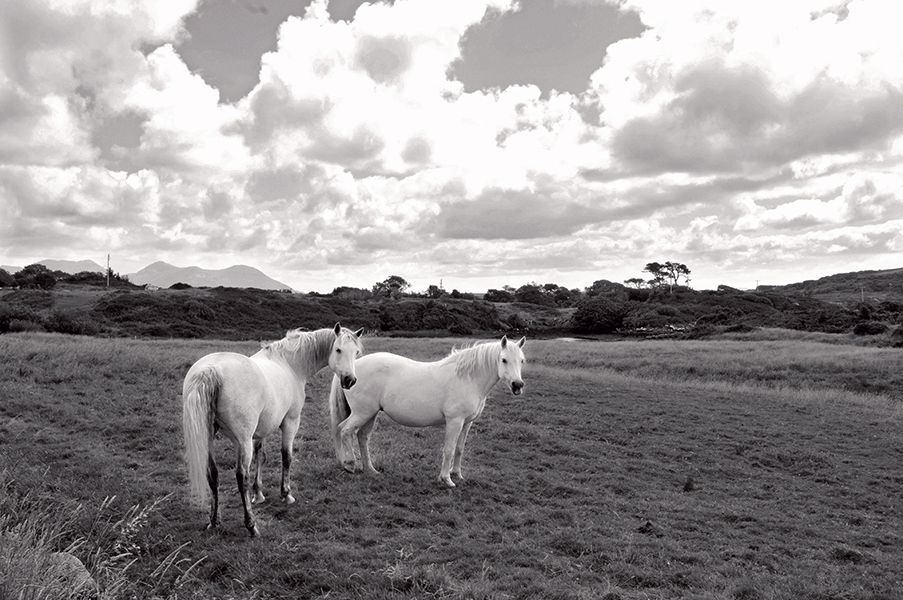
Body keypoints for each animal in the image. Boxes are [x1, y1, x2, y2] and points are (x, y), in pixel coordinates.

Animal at [182, 323, 363, 536]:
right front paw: (286, 494)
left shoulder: (261, 431)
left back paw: (214, 520)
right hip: (242, 441)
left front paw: (258, 494)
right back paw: (251, 525)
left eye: (356, 352)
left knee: (212, 473)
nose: (350, 380)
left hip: (208, 437)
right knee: (241, 476)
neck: (290, 364)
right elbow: (286, 456)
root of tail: (211, 369)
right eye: (338, 350)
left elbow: (261, 457)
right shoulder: (290, 422)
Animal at [328, 335, 526, 487]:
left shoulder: (467, 423)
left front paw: (457, 474)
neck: (468, 378)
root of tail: (350, 372)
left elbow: (459, 448)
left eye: (522, 360)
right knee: (344, 430)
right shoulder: (454, 421)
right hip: (362, 413)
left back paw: (370, 469)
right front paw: (446, 479)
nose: (518, 385)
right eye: (504, 360)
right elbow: (449, 449)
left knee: (361, 437)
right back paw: (349, 465)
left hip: (370, 414)